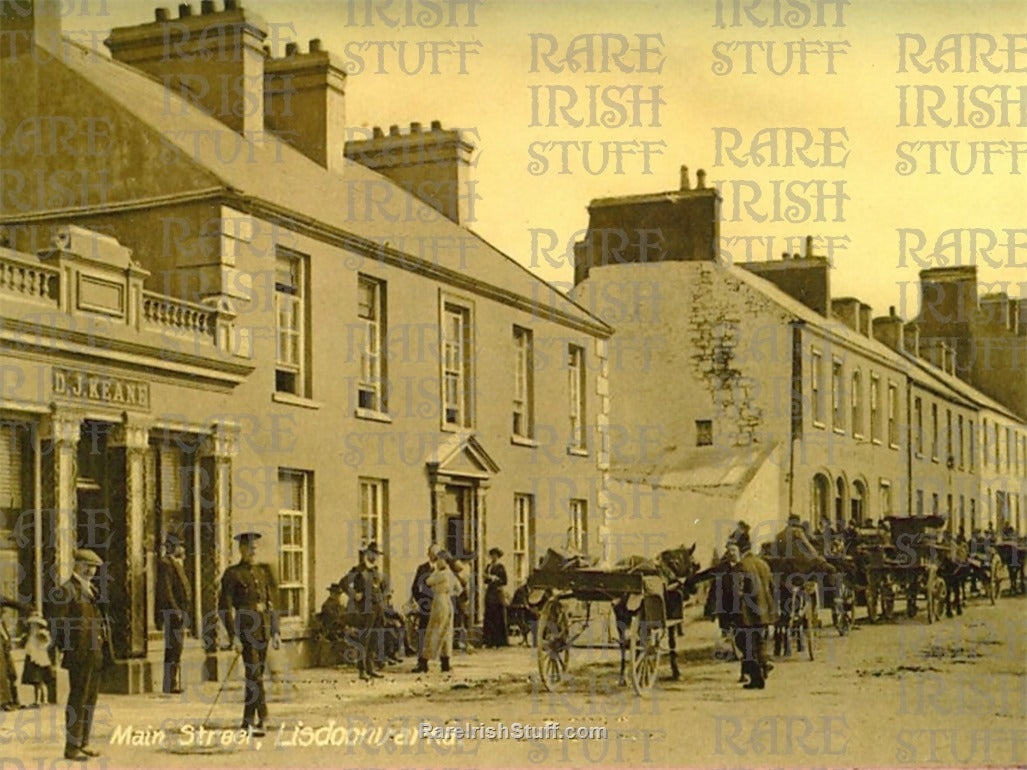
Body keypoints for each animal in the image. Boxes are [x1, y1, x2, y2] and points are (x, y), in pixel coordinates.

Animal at [607, 546, 698, 685]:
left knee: (624, 645)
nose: (695, 589)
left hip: (621, 619)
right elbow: (672, 643)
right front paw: (676, 672)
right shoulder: (669, 619)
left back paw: (624, 678)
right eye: (694, 564)